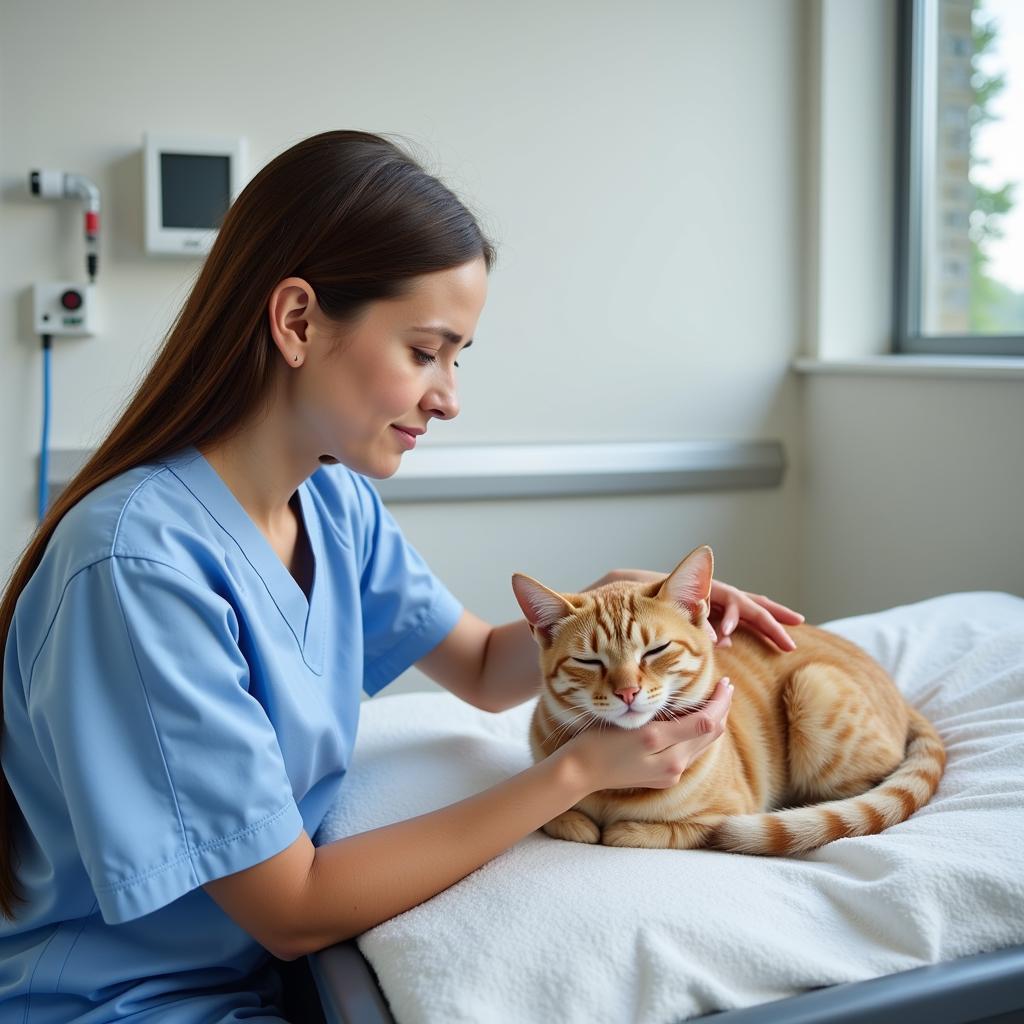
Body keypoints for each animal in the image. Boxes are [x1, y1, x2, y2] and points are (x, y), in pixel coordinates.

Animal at [512, 548, 942, 851]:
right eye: (589, 661)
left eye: (656, 650)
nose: (627, 691)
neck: (614, 787)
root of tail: (902, 696)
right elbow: (559, 818)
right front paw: (577, 820)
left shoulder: (726, 814)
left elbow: (655, 832)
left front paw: (623, 829)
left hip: (815, 687)